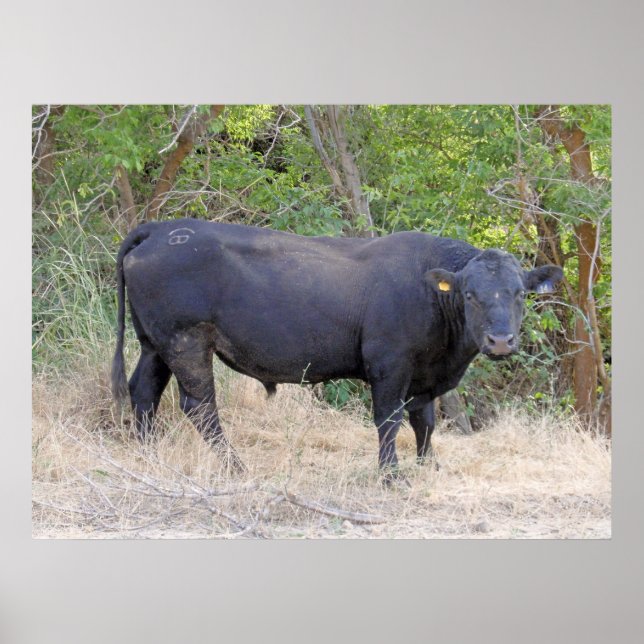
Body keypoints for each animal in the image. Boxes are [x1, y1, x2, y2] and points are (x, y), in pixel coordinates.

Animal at [111, 218, 562, 480]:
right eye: (470, 295)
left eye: (520, 293)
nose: (500, 340)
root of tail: (161, 228)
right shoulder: (390, 363)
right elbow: (389, 420)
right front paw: (391, 475)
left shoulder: (425, 372)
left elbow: (426, 422)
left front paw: (429, 467)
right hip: (186, 340)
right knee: (200, 405)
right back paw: (235, 467)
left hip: (154, 343)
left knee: (144, 391)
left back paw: (149, 455)